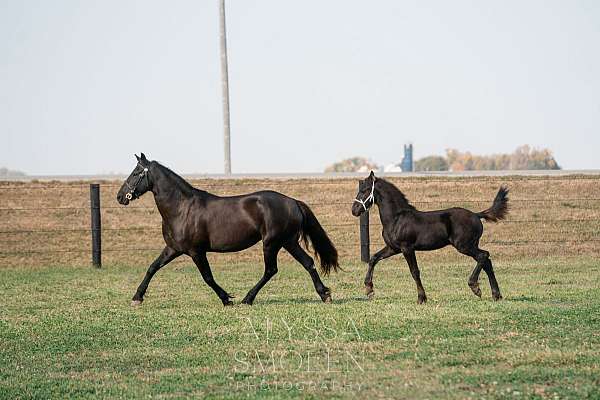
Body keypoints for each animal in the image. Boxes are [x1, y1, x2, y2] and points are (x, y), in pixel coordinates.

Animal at [116, 153, 338, 306]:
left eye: (135, 173)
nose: (120, 196)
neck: (182, 208)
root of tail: (293, 201)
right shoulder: (173, 249)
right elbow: (152, 267)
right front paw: (137, 298)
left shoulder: (196, 251)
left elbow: (207, 277)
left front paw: (227, 299)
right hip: (288, 242)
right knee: (308, 262)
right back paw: (324, 294)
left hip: (271, 243)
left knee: (271, 270)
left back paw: (247, 299)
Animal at [350, 172, 508, 304]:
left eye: (364, 190)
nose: (354, 210)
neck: (396, 218)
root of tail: (476, 215)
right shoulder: (393, 248)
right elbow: (373, 258)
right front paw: (369, 289)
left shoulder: (407, 248)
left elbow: (414, 271)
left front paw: (421, 298)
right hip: (471, 245)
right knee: (487, 261)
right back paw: (496, 295)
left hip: (464, 246)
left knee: (484, 256)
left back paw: (475, 287)